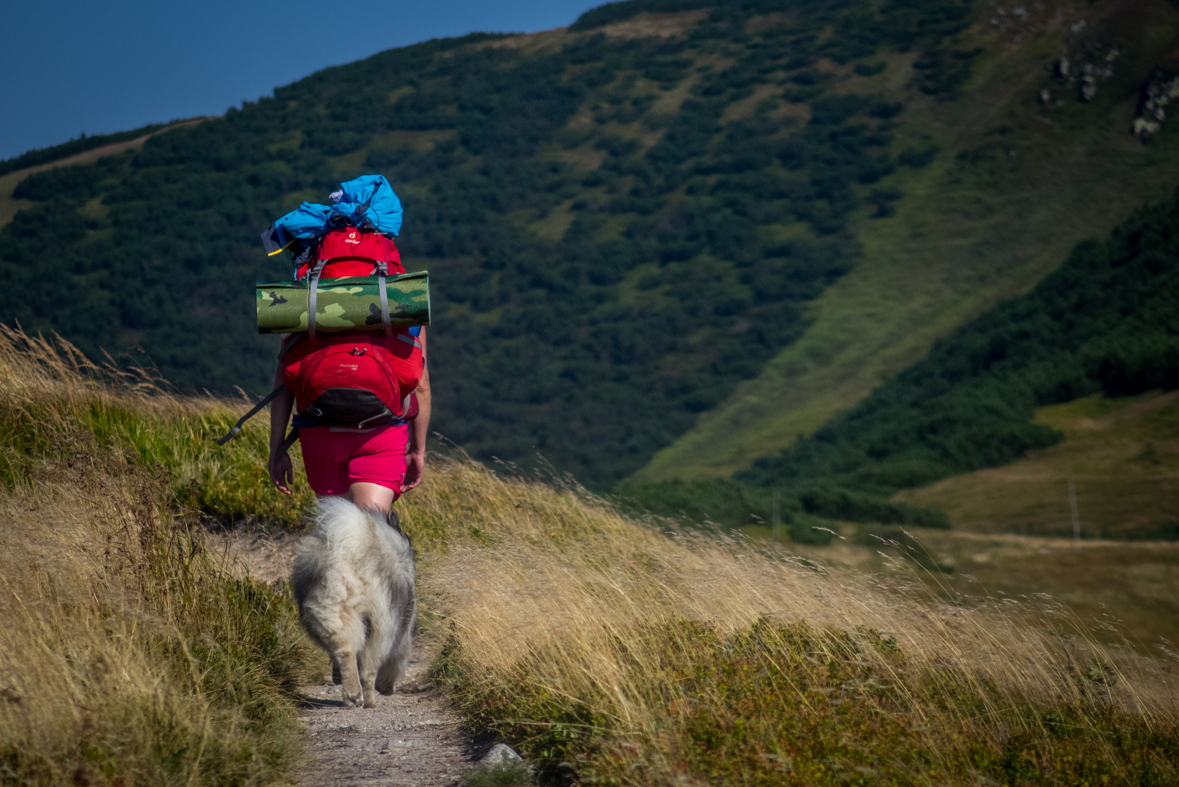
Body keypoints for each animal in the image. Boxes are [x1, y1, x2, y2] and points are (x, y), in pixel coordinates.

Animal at [292, 497, 417, 706]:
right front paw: (387, 687)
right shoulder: (401, 629)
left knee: (345, 651)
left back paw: (352, 695)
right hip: (382, 626)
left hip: (332, 610)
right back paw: (369, 702)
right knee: (368, 669)